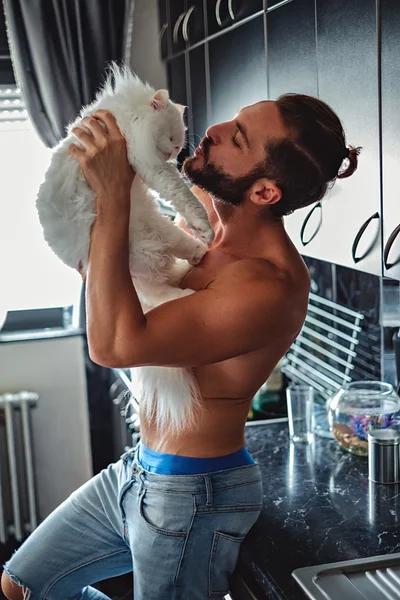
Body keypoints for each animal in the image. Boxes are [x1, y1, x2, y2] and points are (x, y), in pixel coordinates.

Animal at [36, 63, 212, 434]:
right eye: (172, 136)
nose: (174, 152)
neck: (126, 111)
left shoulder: (152, 169)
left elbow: (181, 195)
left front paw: (204, 229)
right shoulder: (151, 164)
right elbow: (185, 196)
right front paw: (205, 223)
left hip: (153, 237)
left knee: (174, 263)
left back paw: (199, 254)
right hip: (143, 253)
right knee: (163, 293)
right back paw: (191, 279)